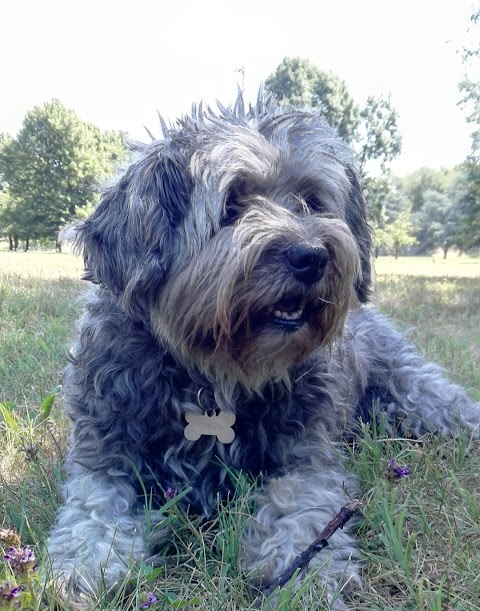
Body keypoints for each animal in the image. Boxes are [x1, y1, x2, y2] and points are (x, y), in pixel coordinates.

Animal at [49, 89, 480, 608]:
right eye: (233, 203)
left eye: (311, 200)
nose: (311, 256)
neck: (213, 377)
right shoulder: (104, 455)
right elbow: (91, 518)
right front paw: (82, 572)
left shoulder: (304, 459)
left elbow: (301, 519)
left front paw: (305, 585)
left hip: (422, 397)